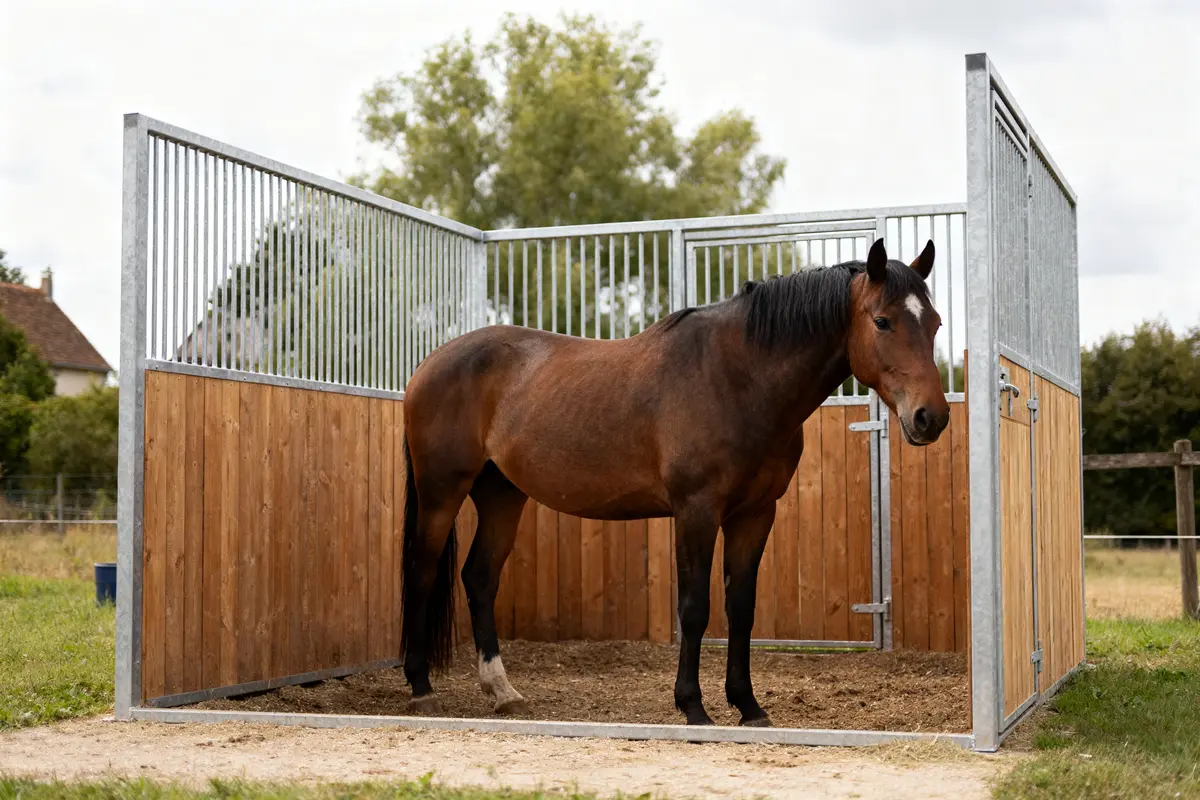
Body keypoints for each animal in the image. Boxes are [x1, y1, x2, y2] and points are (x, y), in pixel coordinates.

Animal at [398, 237, 949, 727]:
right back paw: (421, 687)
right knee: (422, 571)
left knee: (479, 577)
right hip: (442, 491)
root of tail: (428, 364)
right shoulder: (696, 511)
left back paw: (502, 692)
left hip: (501, 493)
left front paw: (748, 707)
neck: (737, 377)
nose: (931, 418)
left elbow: (740, 609)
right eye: (882, 321)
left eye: (936, 322)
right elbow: (695, 608)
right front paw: (693, 707)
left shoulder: (755, 513)